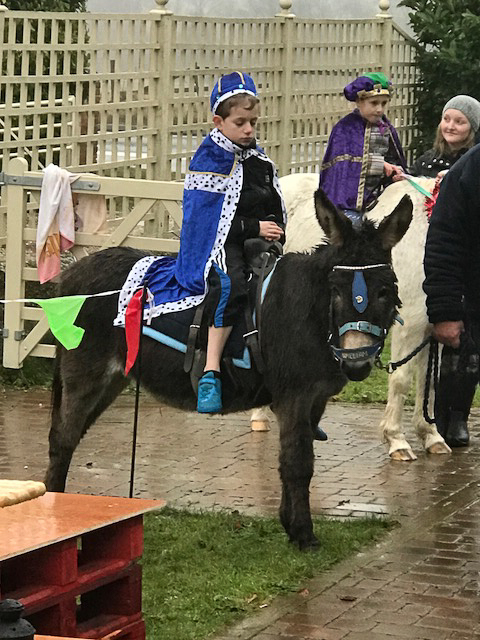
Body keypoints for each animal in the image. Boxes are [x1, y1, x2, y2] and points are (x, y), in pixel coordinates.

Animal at [45, 188, 412, 550]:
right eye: (335, 290)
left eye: (385, 290)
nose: (356, 362)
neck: (311, 314)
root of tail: (73, 273)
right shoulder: (294, 397)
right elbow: (298, 463)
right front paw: (304, 536)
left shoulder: (315, 399)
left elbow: (290, 460)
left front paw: (290, 526)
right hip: (86, 372)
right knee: (63, 439)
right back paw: (57, 515)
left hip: (112, 379)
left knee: (70, 436)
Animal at [250, 174, 450, 461]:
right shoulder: (410, 325)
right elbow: (401, 380)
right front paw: (397, 439)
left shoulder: (434, 329)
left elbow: (430, 383)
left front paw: (431, 436)